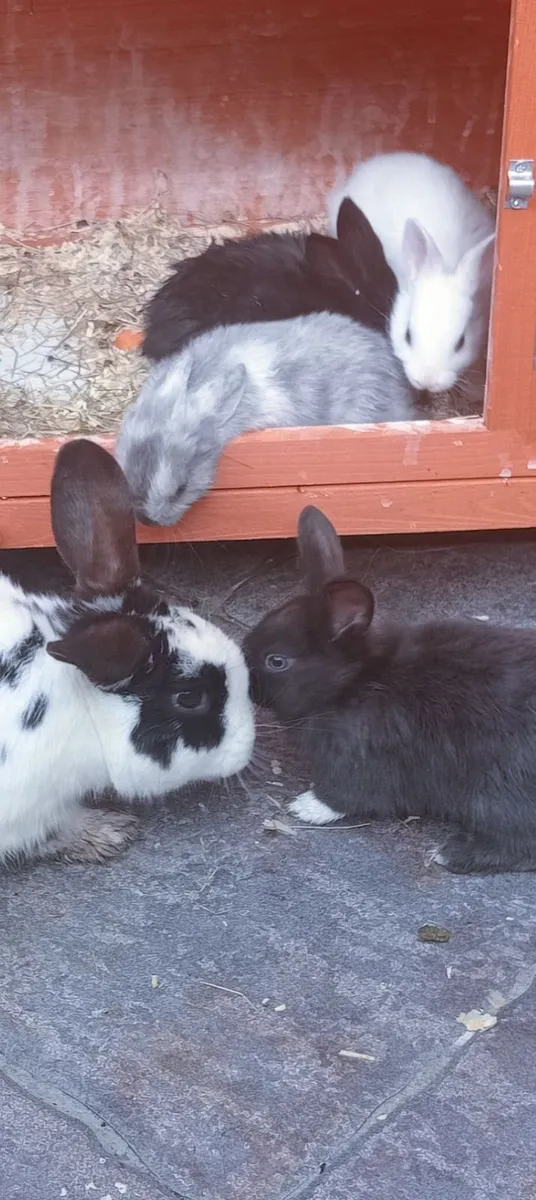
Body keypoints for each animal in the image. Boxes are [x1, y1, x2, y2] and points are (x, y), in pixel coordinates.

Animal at [0, 438, 255, 866]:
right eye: (190, 698)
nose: (247, 747)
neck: (79, 706)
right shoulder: (25, 812)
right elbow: (52, 830)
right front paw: (108, 833)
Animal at [244, 504, 536, 875]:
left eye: (277, 661)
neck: (352, 683)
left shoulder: (361, 760)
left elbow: (345, 795)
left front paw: (305, 807)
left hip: (497, 794)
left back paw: (451, 854)